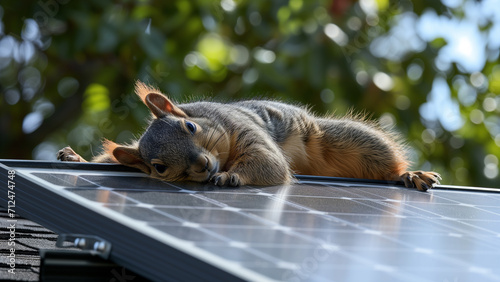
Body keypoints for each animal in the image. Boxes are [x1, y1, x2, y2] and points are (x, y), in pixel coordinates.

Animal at [57, 81, 442, 192]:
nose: (202, 165)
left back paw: (409, 175)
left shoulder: (246, 129)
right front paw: (74, 157)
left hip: (347, 142)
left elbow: (268, 163)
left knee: (382, 160)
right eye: (159, 167)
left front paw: (231, 177)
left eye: (190, 127)